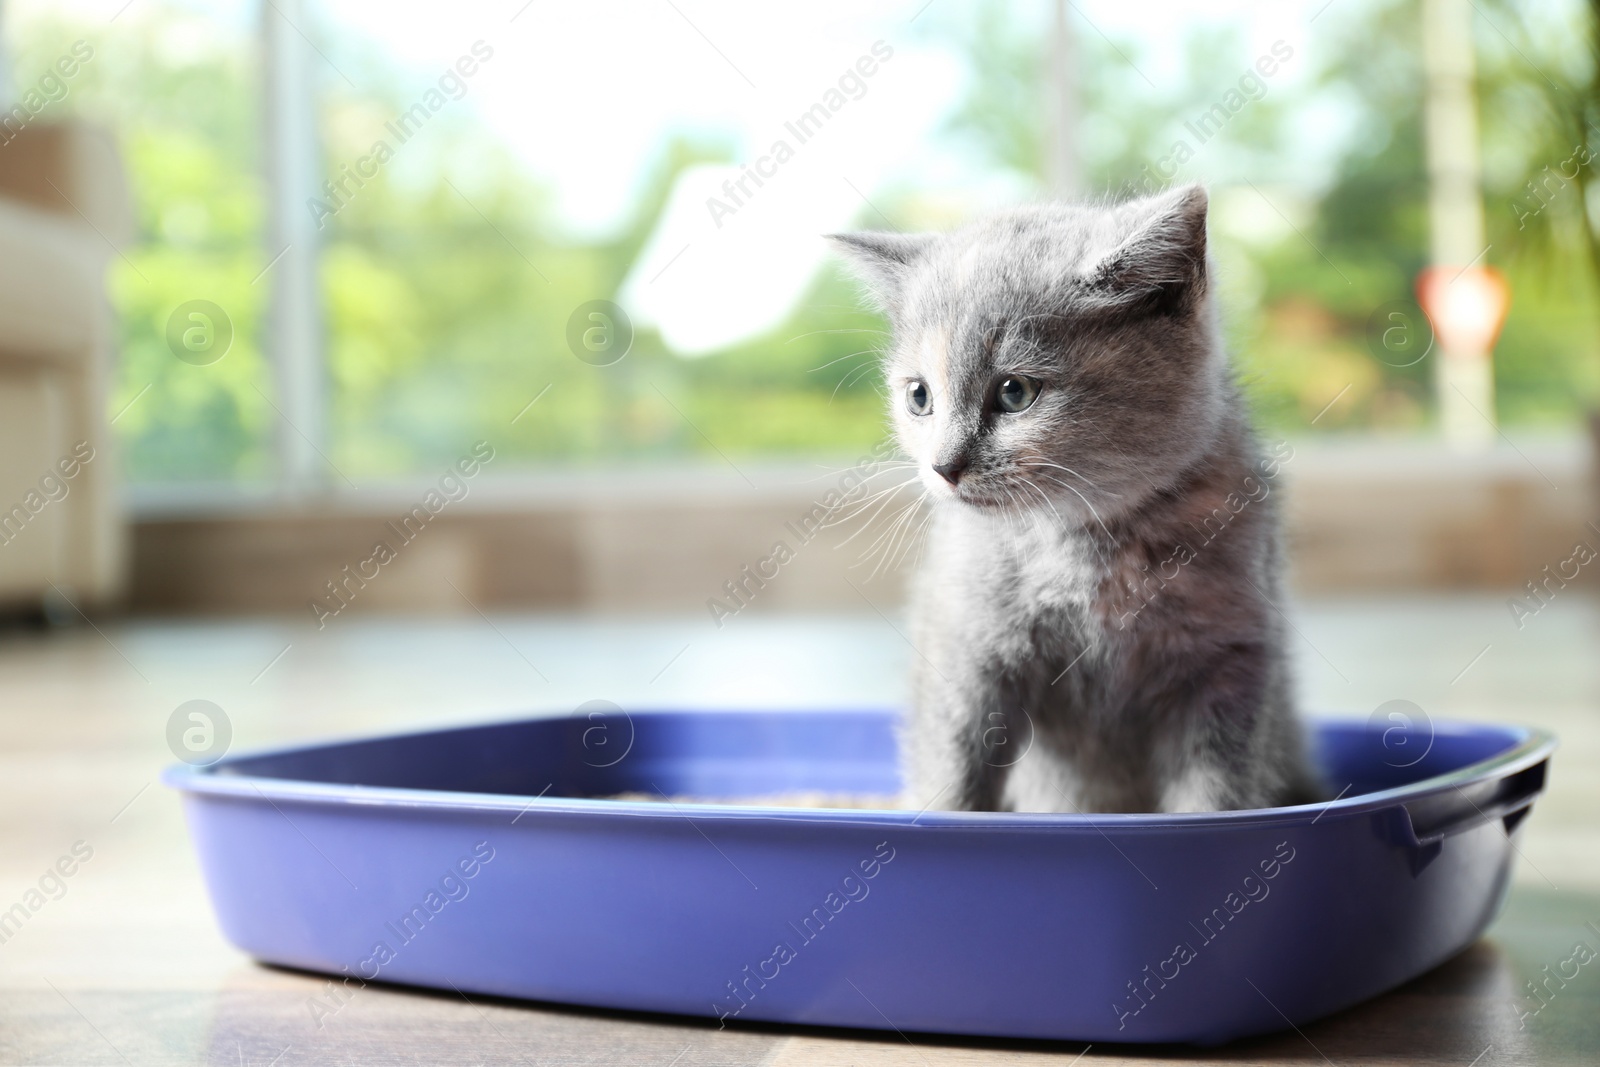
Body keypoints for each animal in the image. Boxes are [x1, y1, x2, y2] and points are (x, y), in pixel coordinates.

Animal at [832, 185, 1318, 819]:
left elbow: (1214, 792)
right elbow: (953, 768)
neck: (1084, 547)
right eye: (919, 397)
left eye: (1015, 392)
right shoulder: (965, 648)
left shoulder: (1231, 660)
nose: (943, 466)